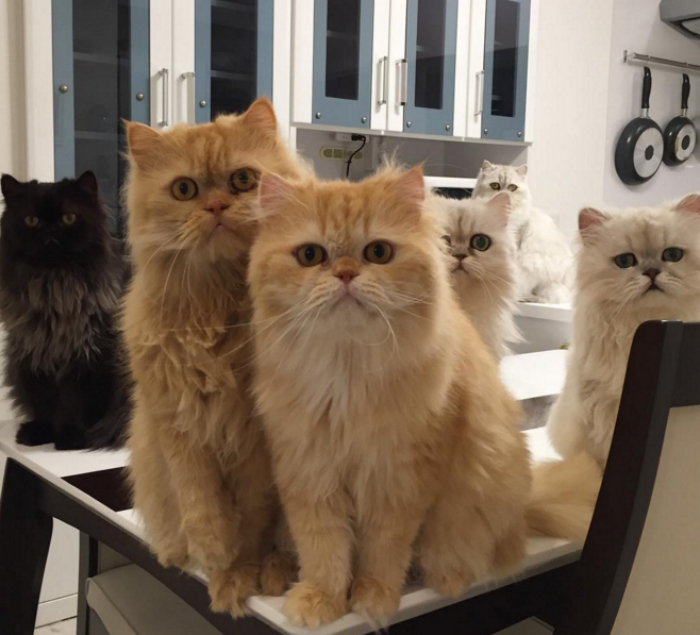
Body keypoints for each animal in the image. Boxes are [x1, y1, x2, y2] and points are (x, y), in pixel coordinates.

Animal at [0, 171, 130, 450]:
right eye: (31, 220)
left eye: (68, 218)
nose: (50, 230)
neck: (54, 289)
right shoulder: (33, 354)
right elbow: (44, 403)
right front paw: (41, 432)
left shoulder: (85, 357)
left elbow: (73, 403)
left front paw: (71, 436)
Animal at [123, 98, 304, 616]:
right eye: (184, 189)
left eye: (243, 180)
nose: (217, 206)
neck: (216, 309)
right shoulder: (179, 427)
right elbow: (205, 511)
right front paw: (221, 568)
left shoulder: (256, 442)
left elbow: (252, 520)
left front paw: (244, 575)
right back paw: (176, 552)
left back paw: (276, 573)